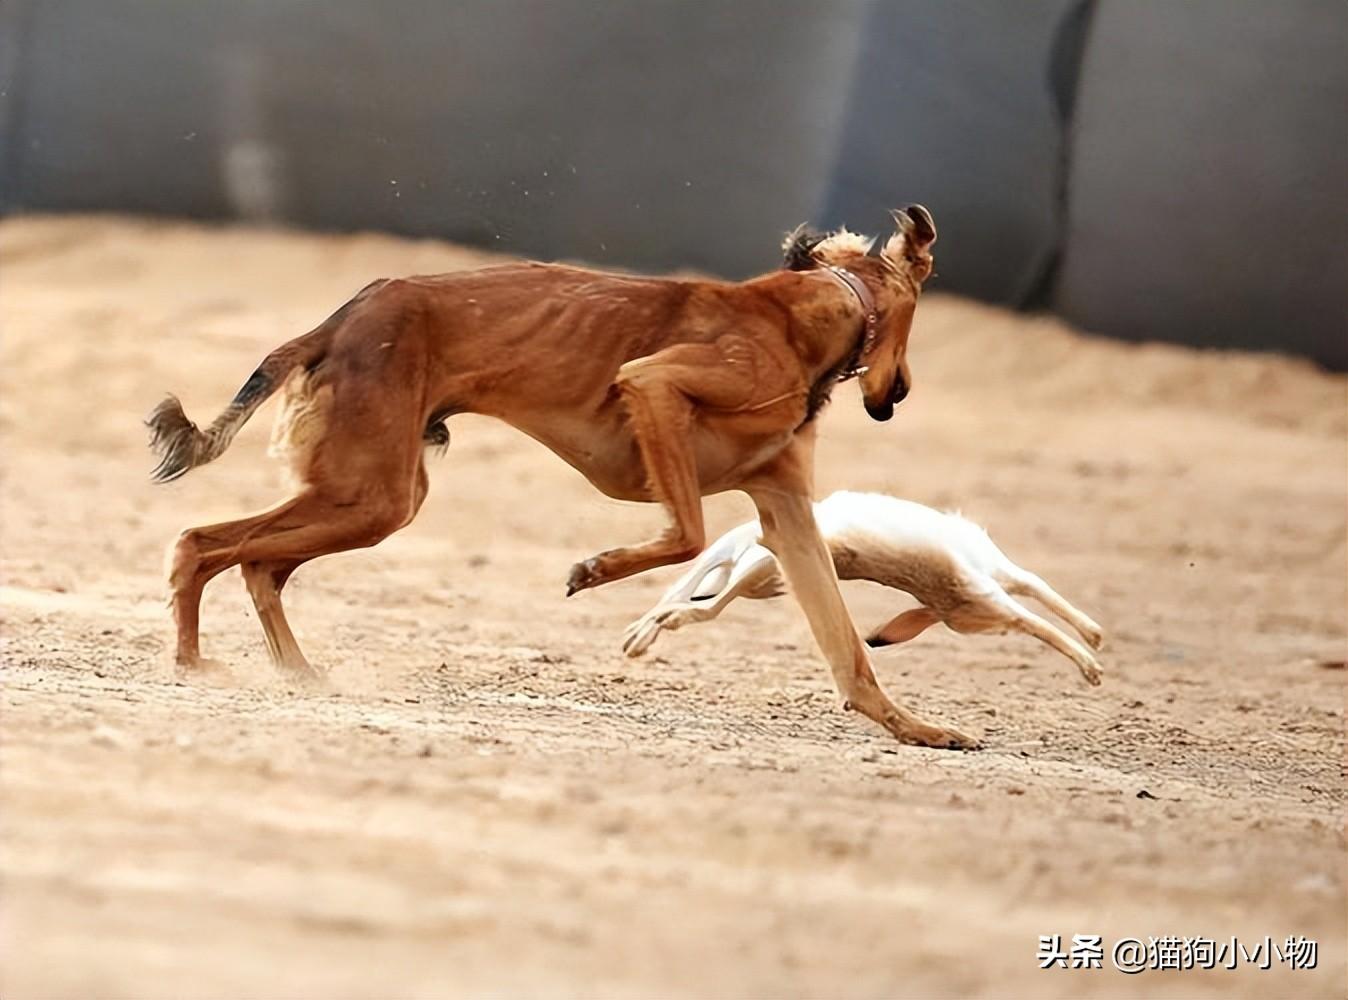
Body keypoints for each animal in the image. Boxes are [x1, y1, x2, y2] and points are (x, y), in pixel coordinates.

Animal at [144, 207, 970, 749]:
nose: (895, 398)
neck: (806, 313)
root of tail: (341, 318)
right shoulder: (652, 387)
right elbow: (685, 533)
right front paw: (593, 569)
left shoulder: (786, 508)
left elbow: (848, 648)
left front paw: (916, 728)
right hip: (370, 496)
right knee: (200, 543)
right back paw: (191, 663)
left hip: (372, 496)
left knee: (256, 563)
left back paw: (295, 672)